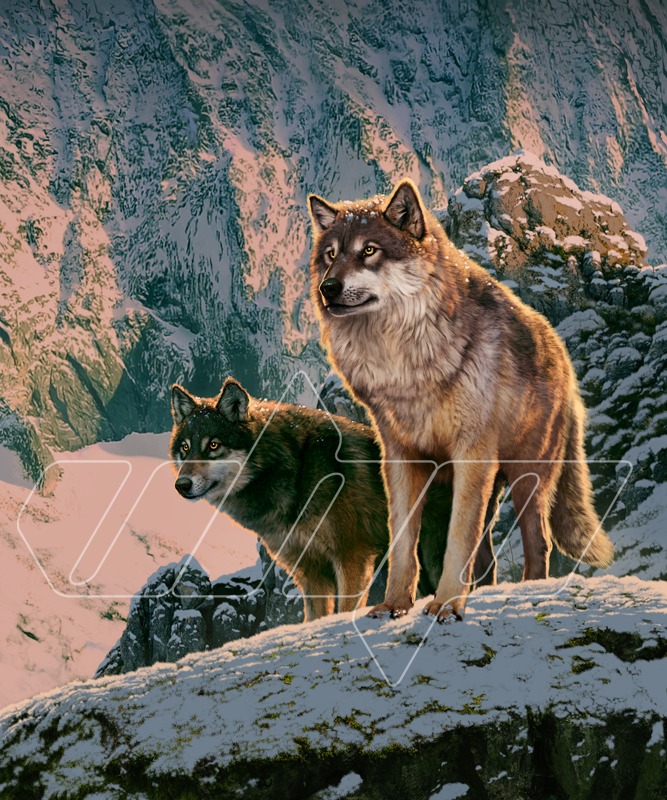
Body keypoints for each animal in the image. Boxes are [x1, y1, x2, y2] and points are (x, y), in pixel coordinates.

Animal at [169, 379, 501, 621]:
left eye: (213, 445)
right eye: (185, 448)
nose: (181, 485)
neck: (297, 469)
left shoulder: (352, 555)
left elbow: (345, 609)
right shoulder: (309, 571)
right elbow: (314, 617)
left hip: (434, 547)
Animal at [308, 179, 614, 622]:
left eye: (369, 250)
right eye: (331, 255)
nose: (327, 288)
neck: (403, 361)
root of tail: (565, 361)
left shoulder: (472, 454)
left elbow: (457, 539)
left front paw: (448, 604)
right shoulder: (400, 457)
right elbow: (403, 542)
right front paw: (395, 604)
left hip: (526, 479)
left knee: (538, 544)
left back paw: (527, 591)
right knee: (486, 557)